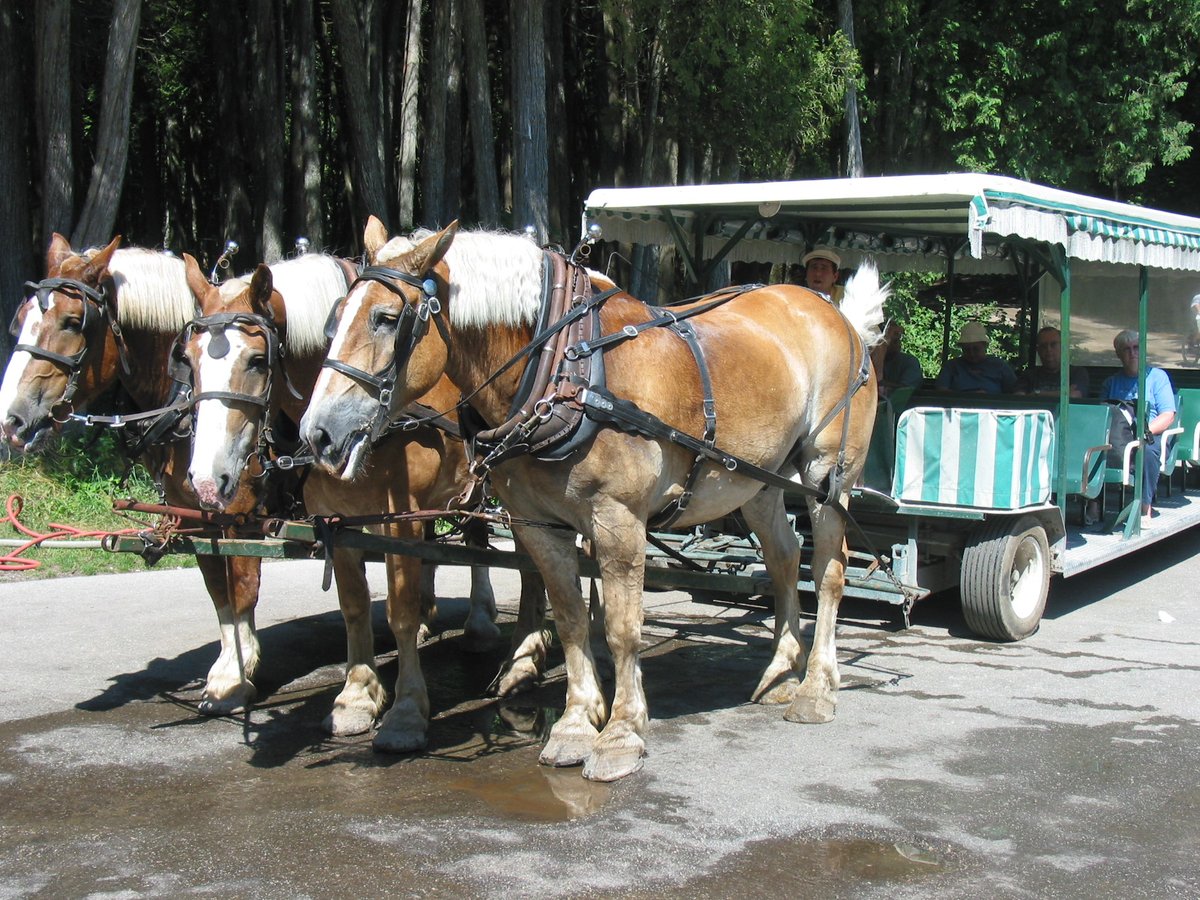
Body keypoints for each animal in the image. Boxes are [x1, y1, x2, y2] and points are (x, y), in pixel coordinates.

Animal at [0, 236, 284, 715]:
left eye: (73, 322)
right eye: (19, 322)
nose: (12, 421)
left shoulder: (241, 513)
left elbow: (243, 587)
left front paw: (236, 678)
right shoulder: (195, 514)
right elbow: (218, 591)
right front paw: (227, 668)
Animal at [176, 250, 549, 748]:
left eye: (256, 360)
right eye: (188, 359)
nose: (204, 479)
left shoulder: (402, 517)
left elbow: (401, 611)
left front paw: (406, 712)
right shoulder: (335, 521)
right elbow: (353, 607)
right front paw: (355, 697)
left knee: (531, 567)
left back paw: (523, 657)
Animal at [304, 224, 888, 782]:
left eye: (385, 318)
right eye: (333, 322)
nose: (317, 434)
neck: (568, 366)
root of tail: (836, 315)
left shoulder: (618, 520)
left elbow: (623, 628)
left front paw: (622, 735)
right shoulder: (540, 525)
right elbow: (569, 620)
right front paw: (576, 723)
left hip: (828, 476)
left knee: (829, 571)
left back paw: (817, 687)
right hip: (759, 481)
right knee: (785, 559)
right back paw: (781, 672)